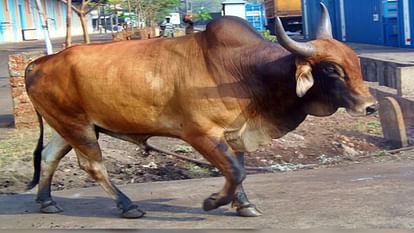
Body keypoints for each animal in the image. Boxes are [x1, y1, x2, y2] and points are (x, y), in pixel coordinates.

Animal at [24, 3, 376, 218]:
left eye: (355, 63)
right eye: (331, 70)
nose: (370, 106)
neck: (247, 71)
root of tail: (39, 62)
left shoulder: (234, 133)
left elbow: (237, 168)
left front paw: (243, 205)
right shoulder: (200, 134)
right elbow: (235, 171)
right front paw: (213, 201)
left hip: (68, 127)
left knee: (49, 156)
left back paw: (46, 202)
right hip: (78, 126)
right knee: (93, 166)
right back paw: (127, 205)